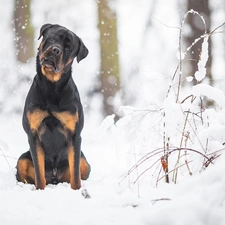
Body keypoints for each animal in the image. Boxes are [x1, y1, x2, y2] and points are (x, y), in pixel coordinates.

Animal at [15, 23, 91, 190]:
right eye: (51, 39)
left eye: (69, 47)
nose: (56, 49)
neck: (52, 86)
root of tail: (55, 179)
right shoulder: (33, 135)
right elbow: (39, 172)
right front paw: (40, 190)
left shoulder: (74, 135)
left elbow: (75, 173)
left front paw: (76, 190)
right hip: (22, 160)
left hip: (85, 162)